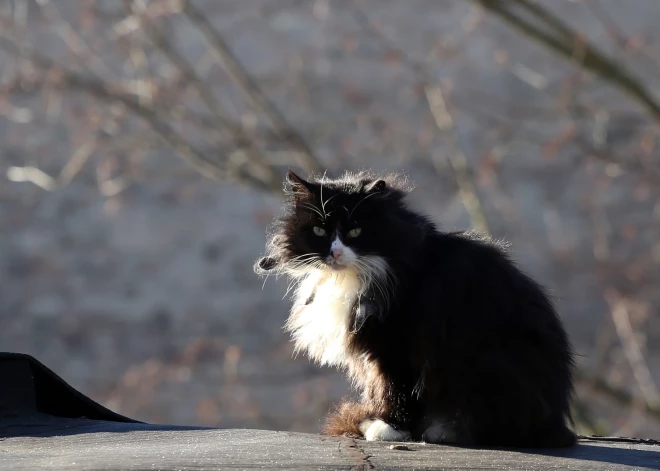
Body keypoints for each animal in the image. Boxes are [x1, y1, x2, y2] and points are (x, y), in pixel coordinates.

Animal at [255, 171, 576, 450]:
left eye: (355, 231)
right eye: (319, 230)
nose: (334, 253)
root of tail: (557, 425)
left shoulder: (397, 343)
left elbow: (395, 387)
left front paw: (390, 427)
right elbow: (381, 388)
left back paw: (440, 430)